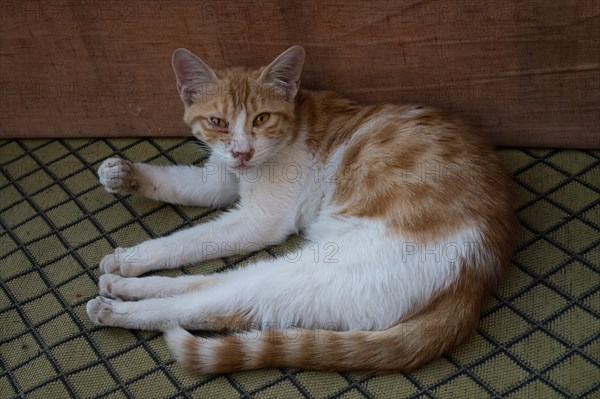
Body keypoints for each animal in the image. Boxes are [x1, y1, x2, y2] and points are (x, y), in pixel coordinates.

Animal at [84, 45, 516, 374]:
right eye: (218, 122)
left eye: (261, 119)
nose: (242, 152)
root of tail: (480, 275)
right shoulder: (219, 179)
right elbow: (176, 183)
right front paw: (122, 174)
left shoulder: (258, 219)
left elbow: (185, 240)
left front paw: (133, 255)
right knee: (208, 286)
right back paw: (121, 286)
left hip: (313, 272)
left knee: (213, 305)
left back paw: (115, 308)